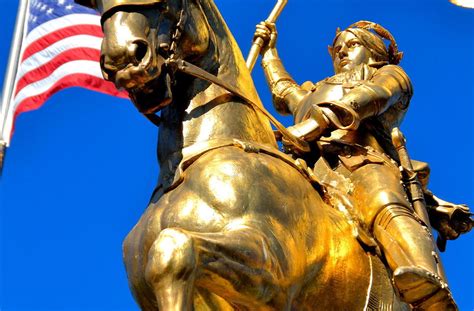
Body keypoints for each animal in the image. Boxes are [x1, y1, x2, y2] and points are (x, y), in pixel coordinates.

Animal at [78, 0, 412, 310]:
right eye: (98, 6)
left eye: (167, 3)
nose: (124, 60)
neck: (187, 167)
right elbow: (288, 93)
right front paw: (267, 37)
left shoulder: (272, 271)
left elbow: (172, 249)